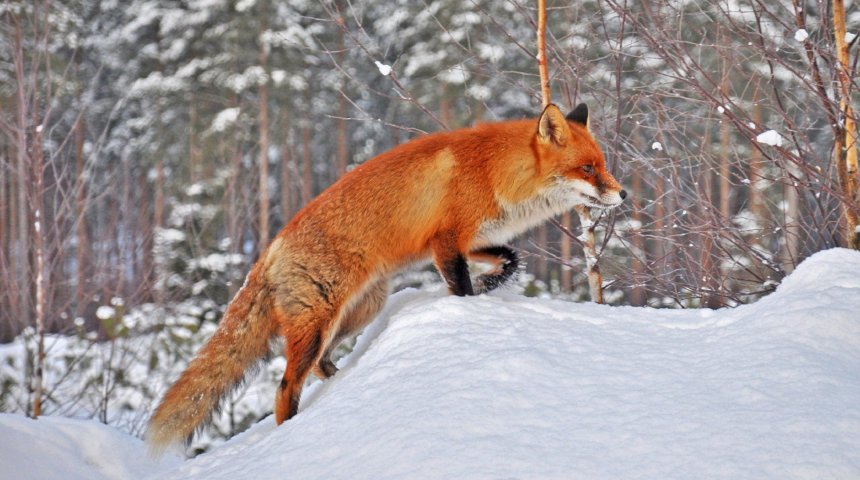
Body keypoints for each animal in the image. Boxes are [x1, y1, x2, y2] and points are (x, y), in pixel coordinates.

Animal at [146, 103, 624, 452]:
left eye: (602, 164)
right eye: (588, 169)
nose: (622, 194)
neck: (495, 172)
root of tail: (271, 248)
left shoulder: (469, 240)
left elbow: (511, 259)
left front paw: (492, 285)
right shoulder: (446, 243)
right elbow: (461, 288)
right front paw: (470, 306)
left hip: (359, 310)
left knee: (320, 366)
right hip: (319, 322)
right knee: (285, 387)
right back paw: (291, 435)